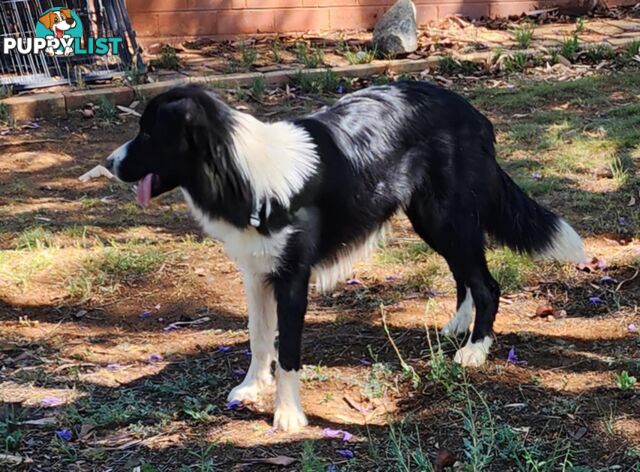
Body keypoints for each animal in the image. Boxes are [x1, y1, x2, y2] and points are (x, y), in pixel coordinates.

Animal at [104, 82, 584, 432]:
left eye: (148, 133)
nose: (109, 163)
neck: (243, 174)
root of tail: (472, 113)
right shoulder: (256, 274)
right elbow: (259, 337)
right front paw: (252, 386)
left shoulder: (292, 281)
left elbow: (289, 351)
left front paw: (288, 414)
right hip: (433, 220)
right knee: (466, 275)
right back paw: (458, 327)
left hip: (448, 218)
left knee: (487, 282)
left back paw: (475, 349)